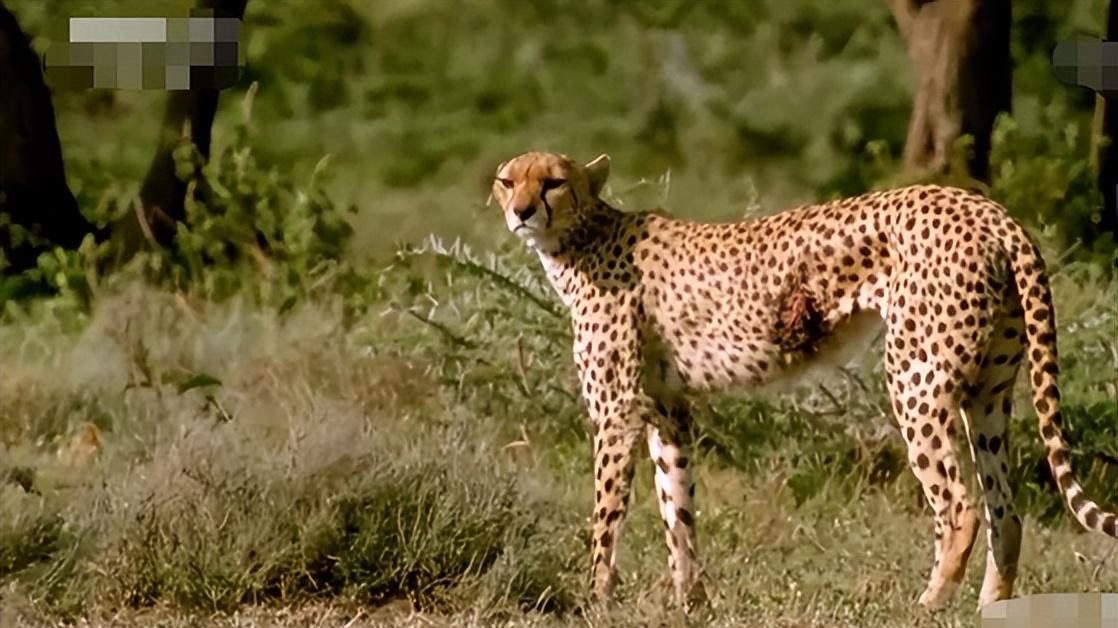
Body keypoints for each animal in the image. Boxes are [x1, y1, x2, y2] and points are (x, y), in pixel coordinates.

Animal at [491, 148, 1118, 607]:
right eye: (507, 180)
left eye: (552, 183)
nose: (521, 212)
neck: (583, 238)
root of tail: (987, 208)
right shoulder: (668, 410)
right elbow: (678, 510)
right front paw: (691, 603)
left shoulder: (616, 411)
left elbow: (606, 514)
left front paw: (596, 598)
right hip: (987, 394)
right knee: (1004, 512)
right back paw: (991, 608)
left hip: (915, 377)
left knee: (960, 506)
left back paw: (928, 606)